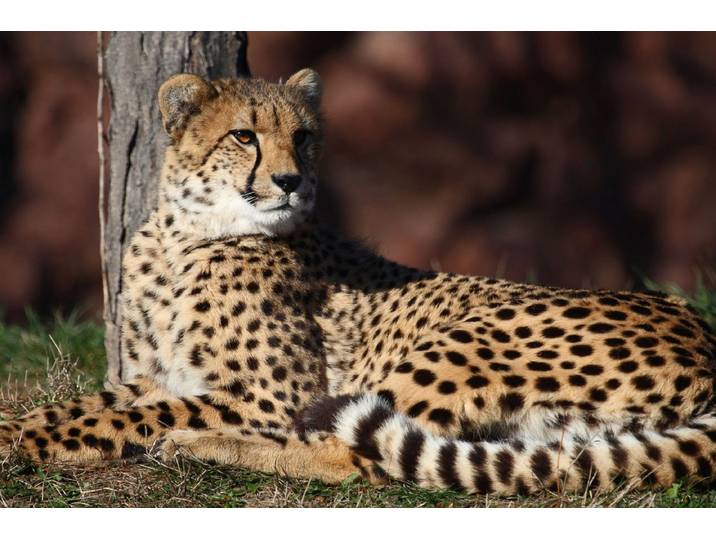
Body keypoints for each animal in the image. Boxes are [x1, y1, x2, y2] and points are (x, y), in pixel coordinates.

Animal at [2, 68, 715, 496]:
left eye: (303, 137)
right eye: (244, 135)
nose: (290, 180)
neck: (188, 234)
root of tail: (699, 328)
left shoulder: (272, 396)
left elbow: (137, 415)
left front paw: (37, 443)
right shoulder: (152, 374)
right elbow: (87, 405)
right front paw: (20, 428)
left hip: (465, 341)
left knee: (352, 457)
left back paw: (196, 445)